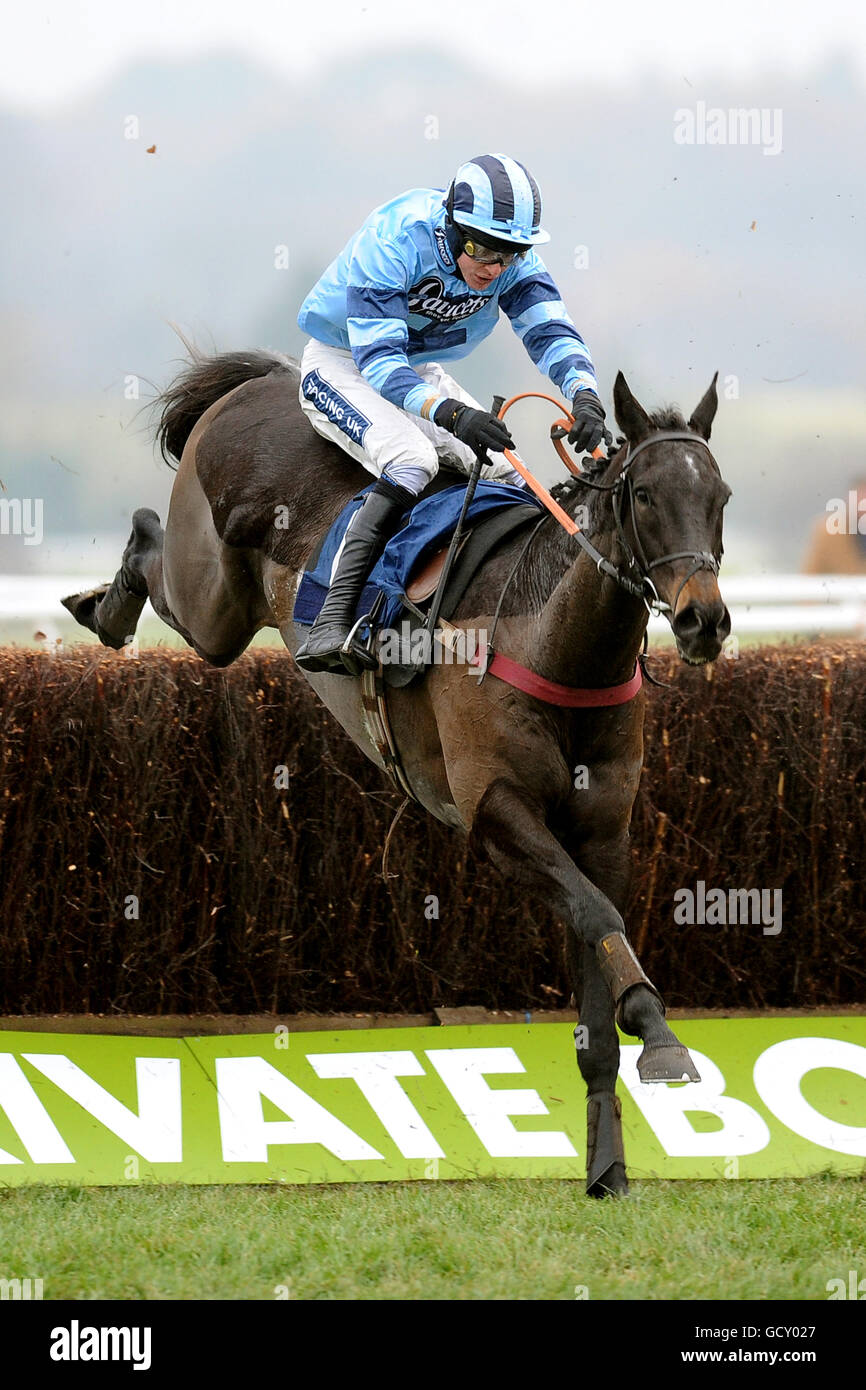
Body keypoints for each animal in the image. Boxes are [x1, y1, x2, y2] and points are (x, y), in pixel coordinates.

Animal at [62, 347, 733, 1195]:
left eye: (719, 497)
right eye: (644, 494)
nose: (704, 620)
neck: (553, 642)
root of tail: (262, 380)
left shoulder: (603, 831)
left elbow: (598, 953)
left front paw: (609, 1160)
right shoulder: (497, 814)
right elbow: (598, 916)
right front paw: (663, 1036)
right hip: (211, 598)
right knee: (157, 547)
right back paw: (105, 605)